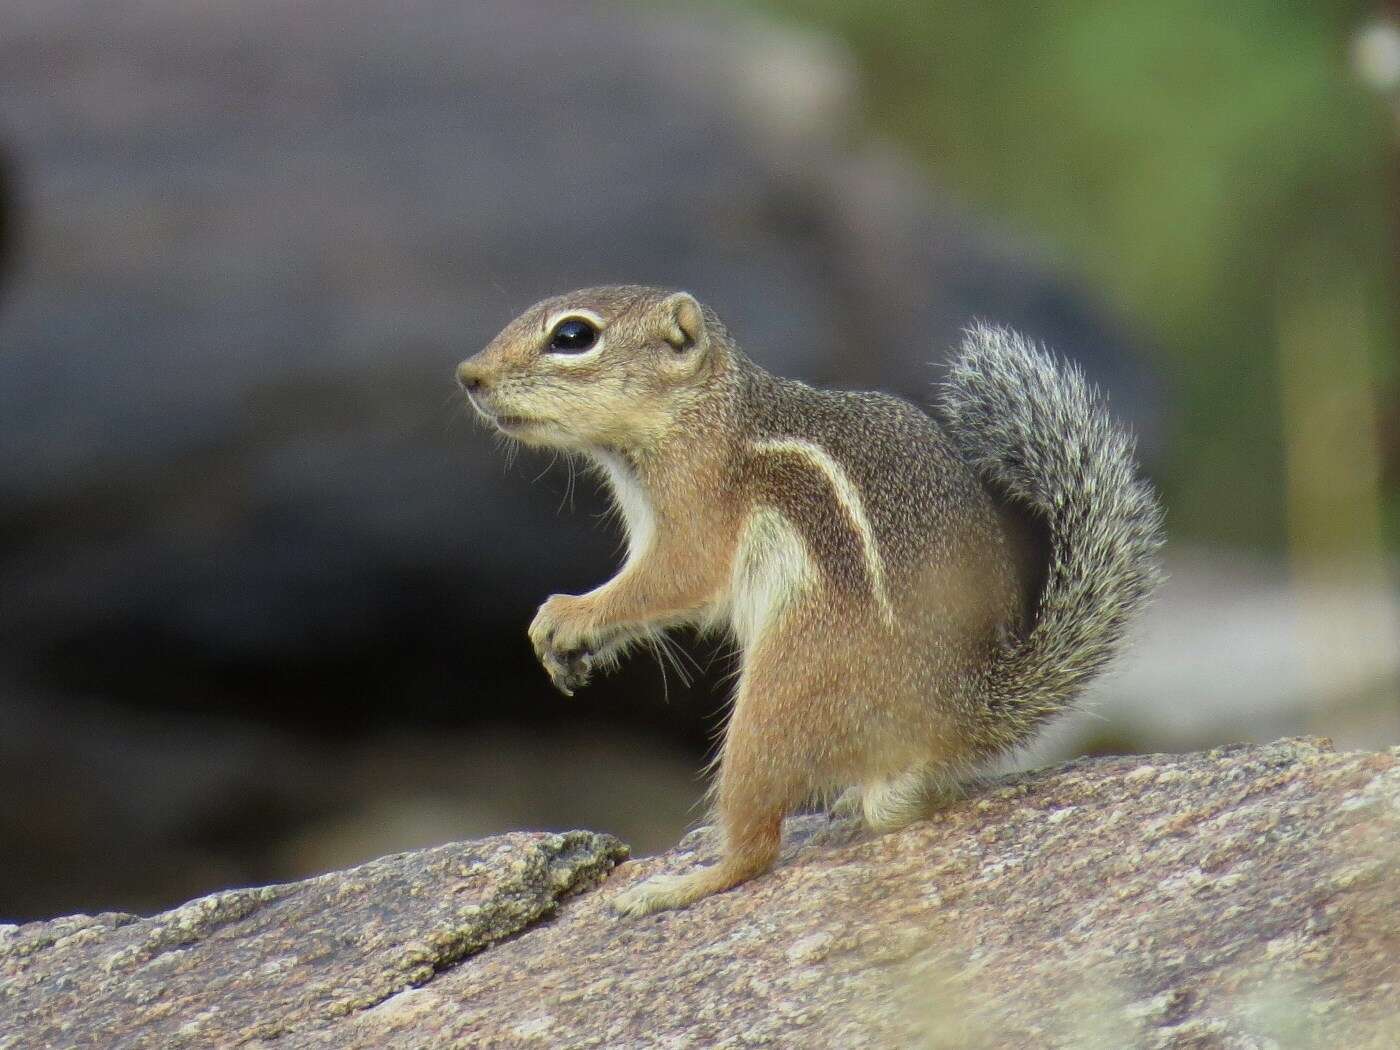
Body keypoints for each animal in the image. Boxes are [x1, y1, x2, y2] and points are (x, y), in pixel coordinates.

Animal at [453, 284, 1164, 918]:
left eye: (573, 336)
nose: (467, 376)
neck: (703, 412)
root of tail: (963, 712)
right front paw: (569, 645)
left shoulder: (696, 507)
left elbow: (675, 580)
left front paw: (564, 615)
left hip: (782, 694)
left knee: (757, 846)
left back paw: (677, 886)